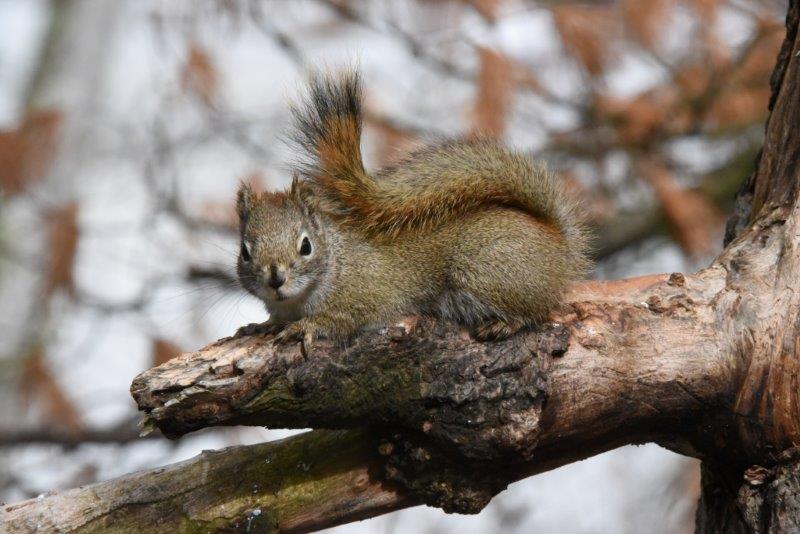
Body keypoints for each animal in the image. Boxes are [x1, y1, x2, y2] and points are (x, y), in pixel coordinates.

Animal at [236, 70, 590, 345]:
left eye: (306, 246)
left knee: (537, 310)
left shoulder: (368, 293)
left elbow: (345, 318)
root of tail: (560, 247)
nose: (275, 278)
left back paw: (507, 322)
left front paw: (308, 327)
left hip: (487, 270)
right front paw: (260, 325)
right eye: (245, 252)